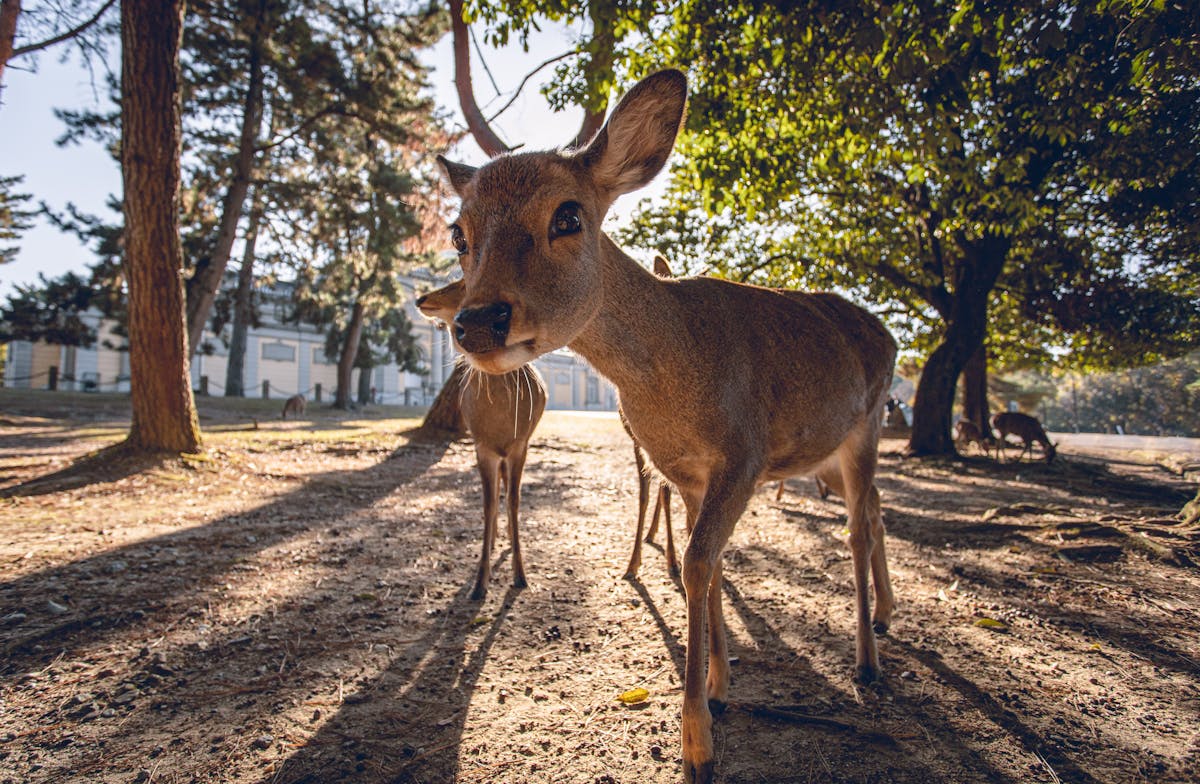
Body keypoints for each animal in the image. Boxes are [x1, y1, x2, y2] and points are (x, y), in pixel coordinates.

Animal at [416, 280, 548, 600]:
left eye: (463, 282)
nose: (421, 298)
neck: (499, 420)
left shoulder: (520, 445)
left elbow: (514, 500)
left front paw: (520, 575)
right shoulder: (482, 446)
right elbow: (487, 504)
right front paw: (479, 583)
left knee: (507, 490)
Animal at [435, 69, 897, 783]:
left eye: (568, 215)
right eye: (459, 232)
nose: (478, 322)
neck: (673, 380)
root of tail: (890, 335)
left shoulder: (744, 453)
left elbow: (700, 561)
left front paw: (697, 742)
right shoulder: (681, 469)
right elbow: (701, 561)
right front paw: (721, 687)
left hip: (867, 423)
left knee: (857, 525)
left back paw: (867, 662)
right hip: (834, 449)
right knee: (874, 509)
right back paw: (885, 618)